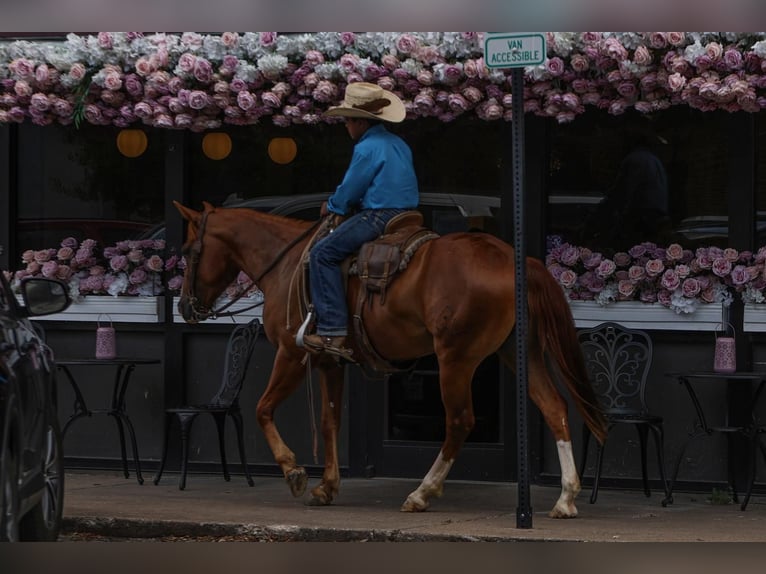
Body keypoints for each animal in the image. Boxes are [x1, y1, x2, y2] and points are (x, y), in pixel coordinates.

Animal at [177, 202, 608, 520]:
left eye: (186, 252)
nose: (184, 307)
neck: (285, 263)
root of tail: (515, 260)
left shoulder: (292, 352)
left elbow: (263, 408)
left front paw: (293, 471)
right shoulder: (329, 361)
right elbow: (329, 422)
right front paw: (326, 486)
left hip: (456, 358)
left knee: (459, 421)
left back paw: (422, 492)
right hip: (520, 353)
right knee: (554, 407)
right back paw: (566, 497)